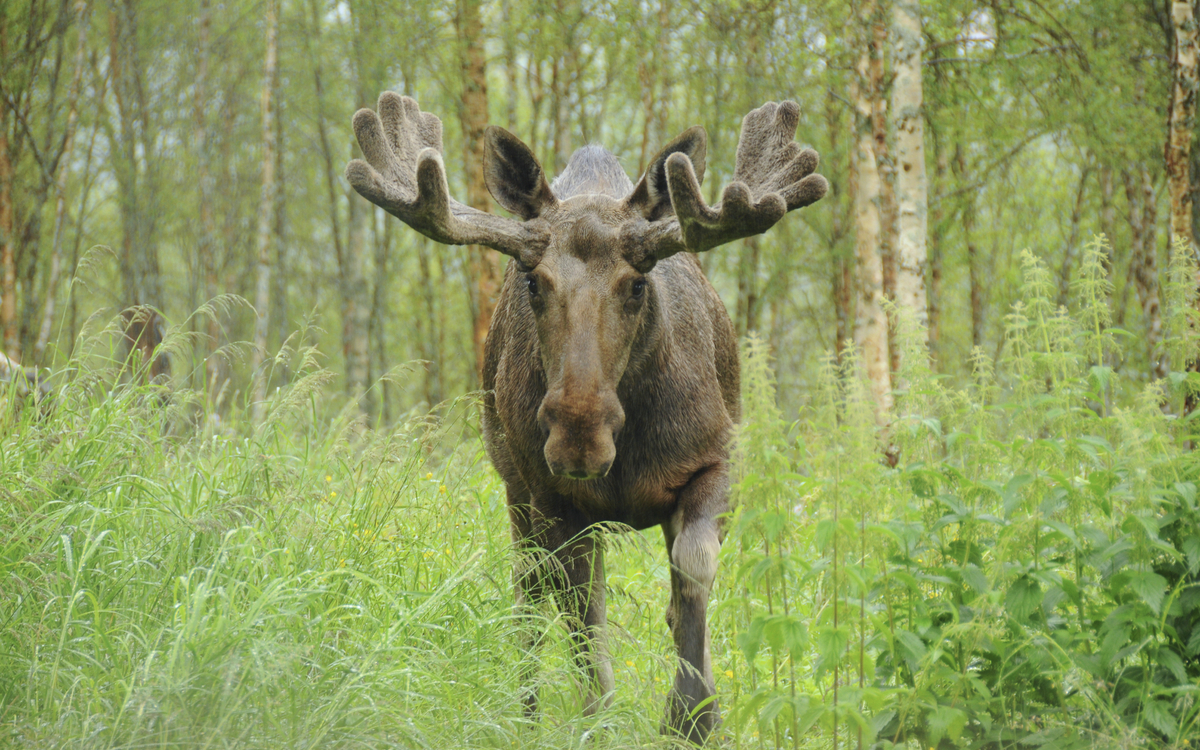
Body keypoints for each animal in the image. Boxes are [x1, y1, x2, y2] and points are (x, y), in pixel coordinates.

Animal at [346, 93, 826, 744]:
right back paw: (525, 714)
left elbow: (692, 575)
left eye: (637, 285)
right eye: (533, 282)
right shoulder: (555, 500)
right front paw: (600, 722)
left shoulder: (717, 462)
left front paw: (694, 718)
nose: (578, 437)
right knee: (531, 599)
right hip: (518, 494)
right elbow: (581, 621)